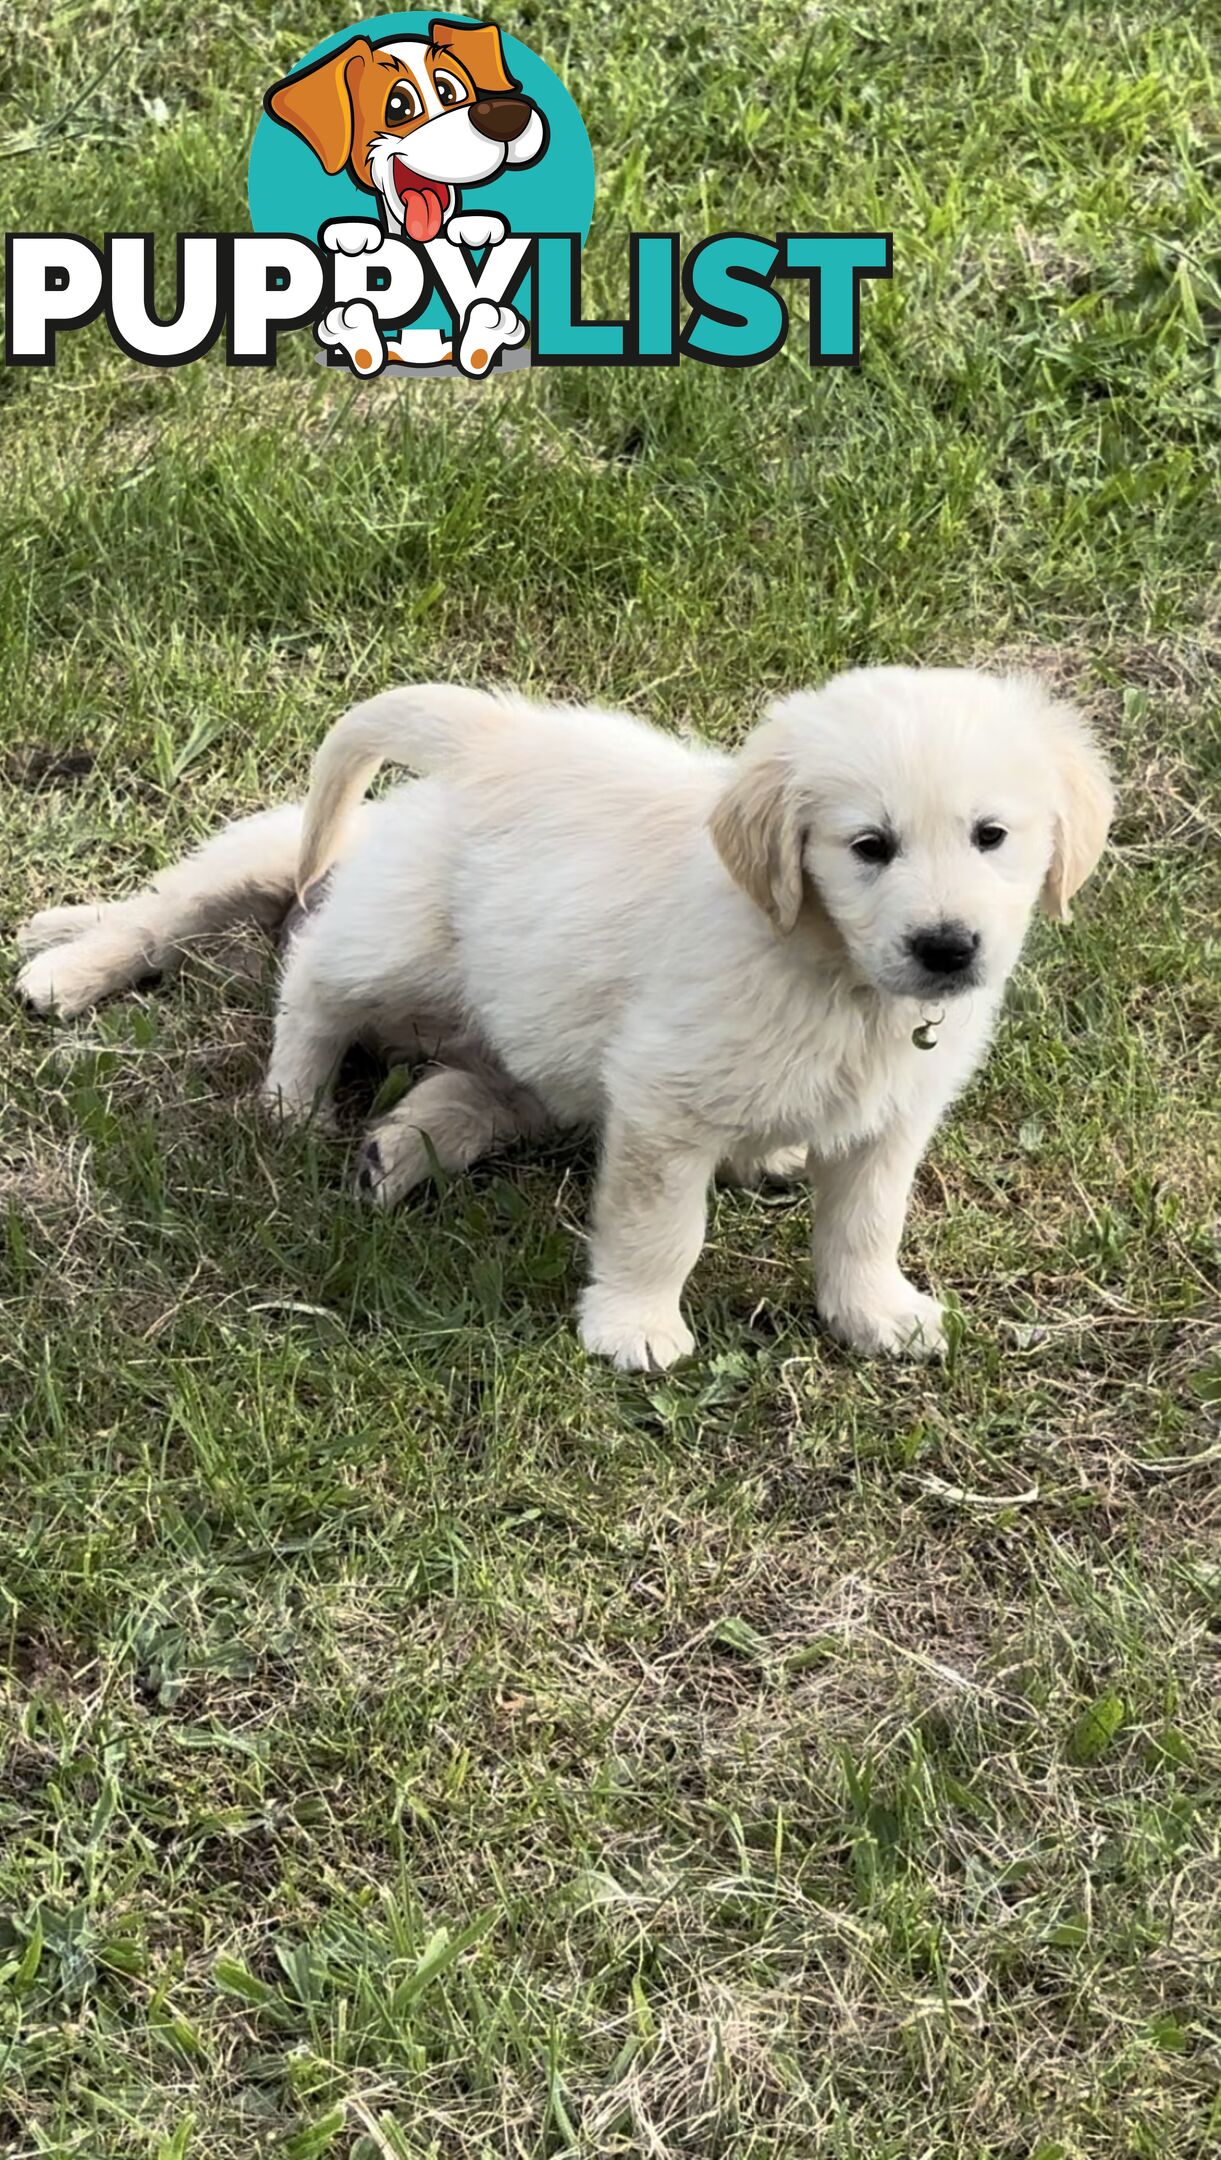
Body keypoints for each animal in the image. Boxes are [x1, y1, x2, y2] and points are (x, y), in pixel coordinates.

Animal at [16, 665, 1115, 1365]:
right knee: (295, 968)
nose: (948, 948)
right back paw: (233, 1061)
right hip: (393, 931)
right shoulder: (663, 1101)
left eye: (991, 836)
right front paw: (633, 1327)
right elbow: (659, 1227)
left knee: (460, 1084)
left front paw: (872, 1313)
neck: (831, 973)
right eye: (869, 846)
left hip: (528, 1039)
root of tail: (498, 734)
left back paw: (397, 1149)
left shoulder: (892, 1117)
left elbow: (865, 1223)